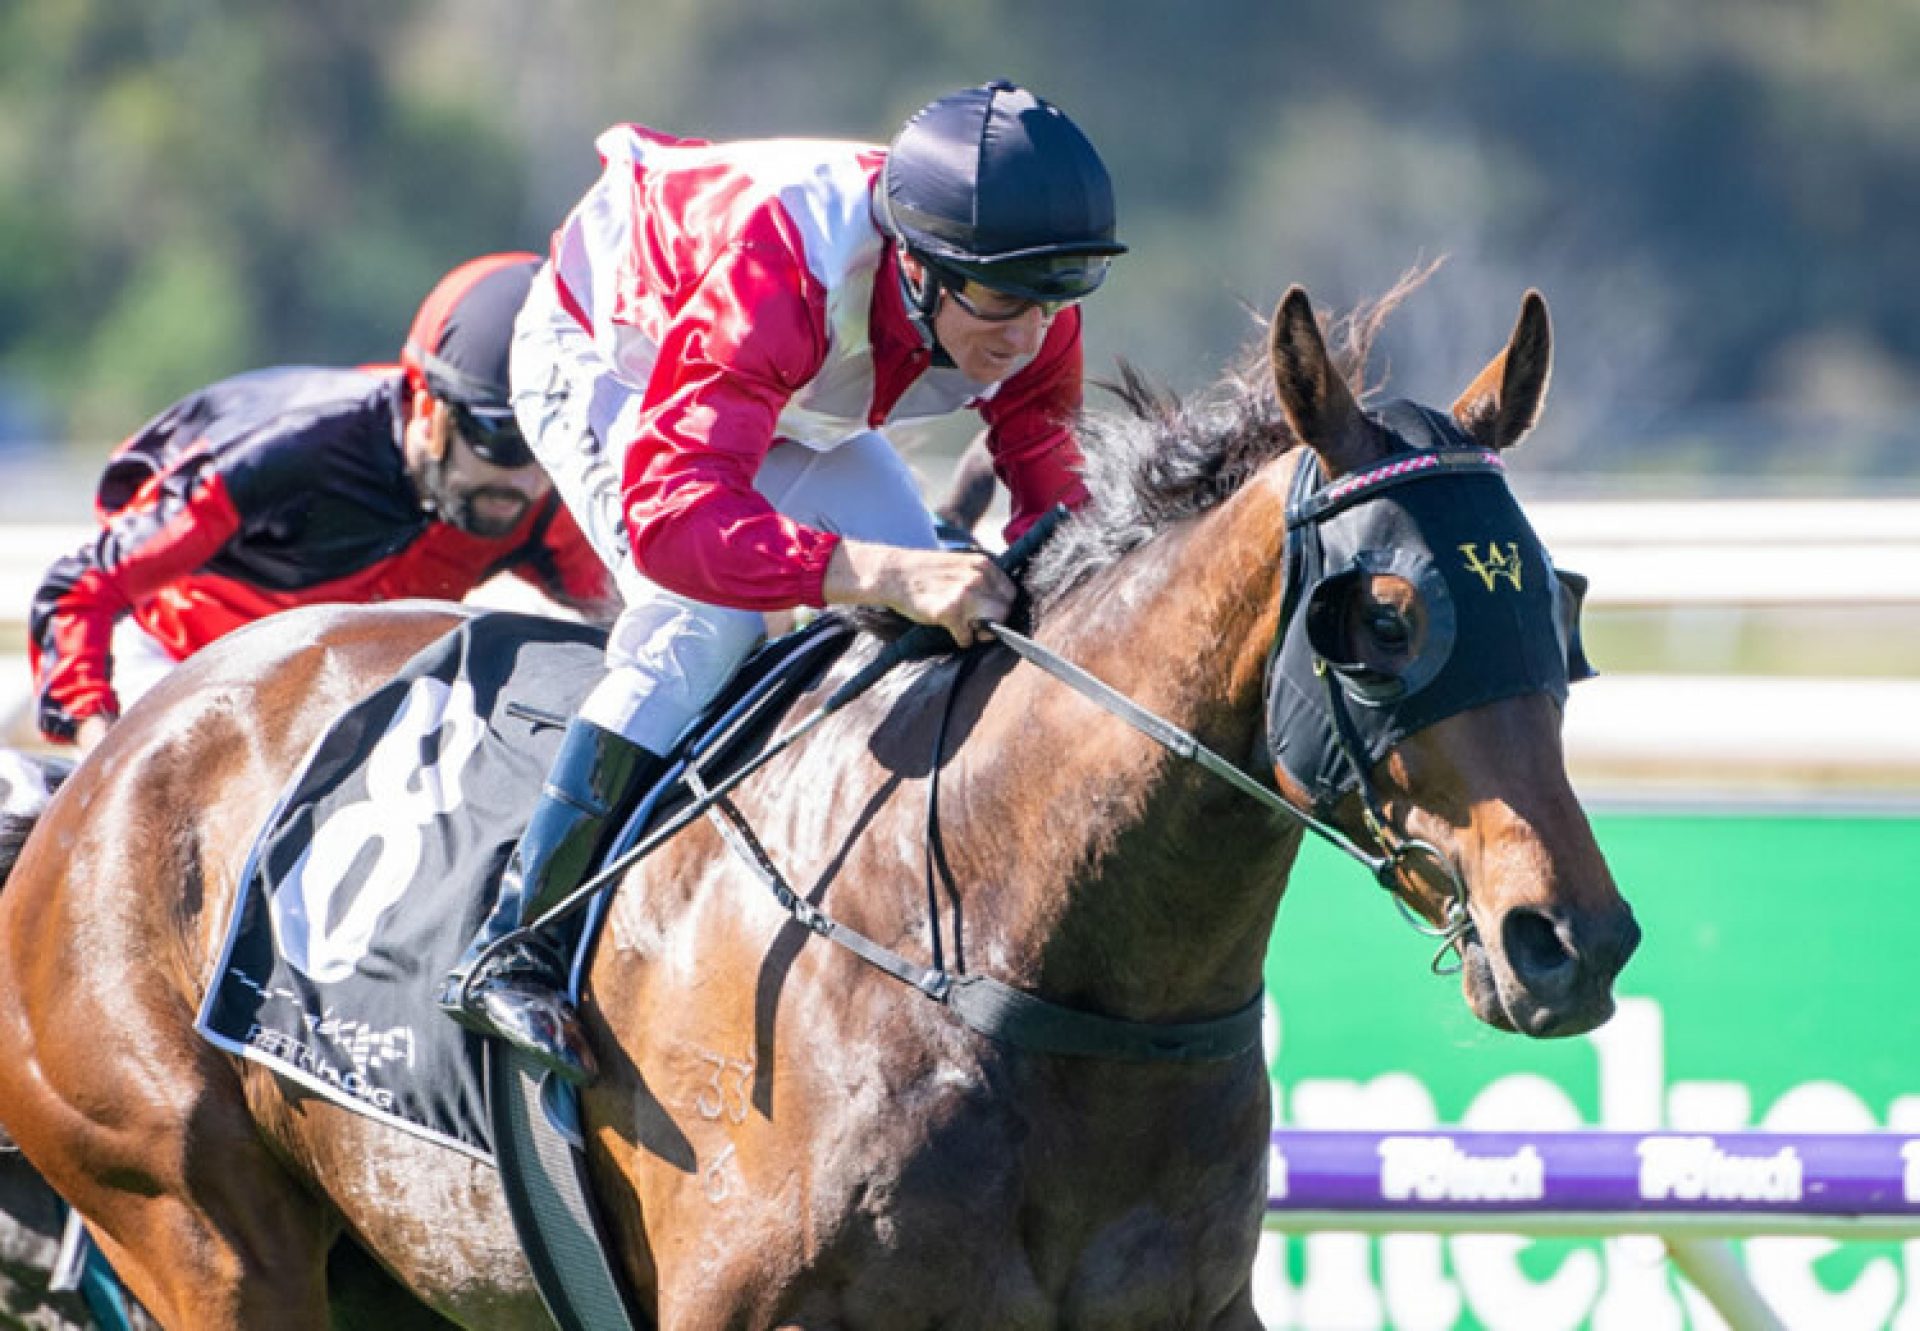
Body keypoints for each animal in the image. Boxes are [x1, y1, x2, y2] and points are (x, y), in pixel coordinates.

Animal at [0, 286, 1635, 1321]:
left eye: (1555, 598)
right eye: (1386, 616)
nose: (1571, 939)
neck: (1009, 955)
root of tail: (119, 757)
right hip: (202, 1229)